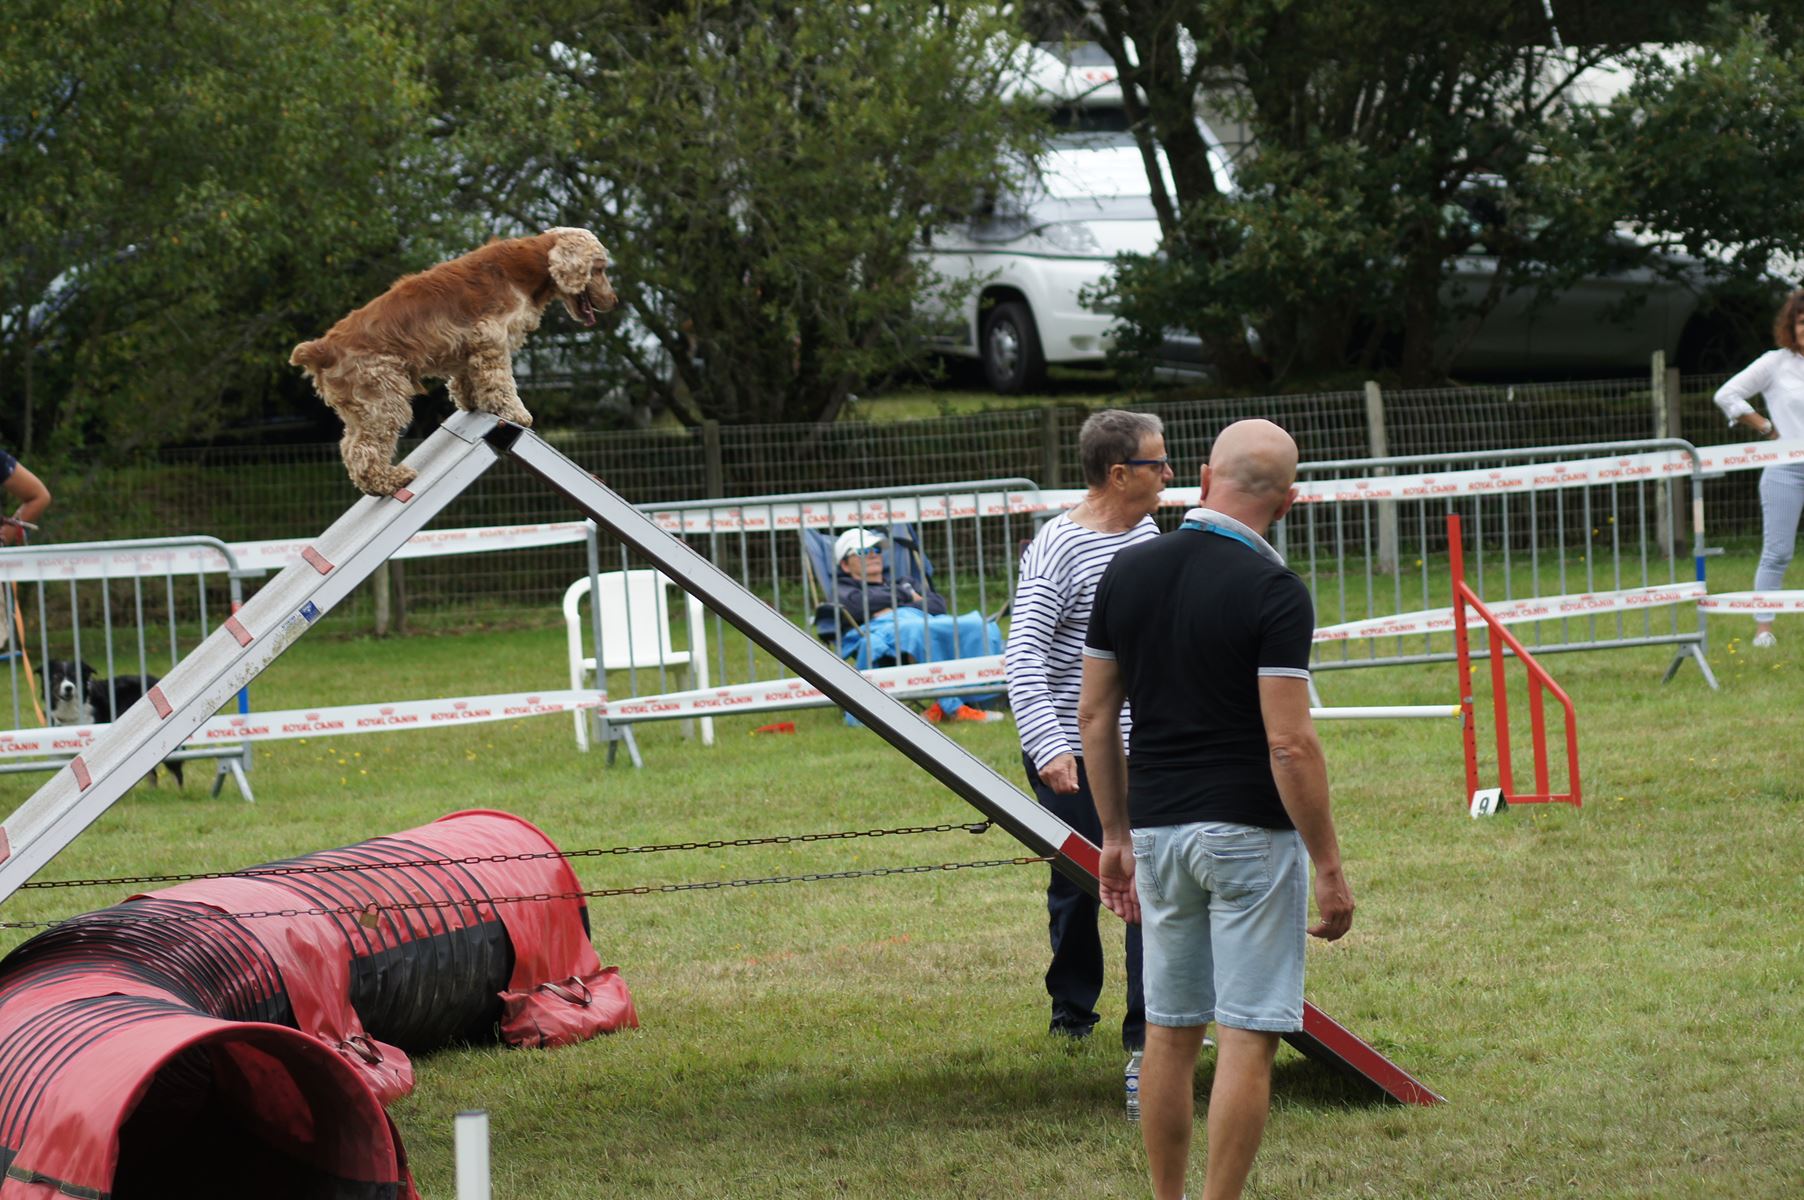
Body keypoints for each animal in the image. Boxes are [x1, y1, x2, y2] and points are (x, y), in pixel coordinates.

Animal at [285, 227, 616, 494]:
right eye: (600, 269)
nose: (613, 301)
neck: (531, 265)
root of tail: (321, 347)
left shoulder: (470, 345)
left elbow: (467, 380)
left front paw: (473, 403)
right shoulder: (492, 337)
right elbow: (501, 382)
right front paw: (517, 413)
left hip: (361, 410)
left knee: (349, 448)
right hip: (383, 400)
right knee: (365, 451)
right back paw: (392, 481)